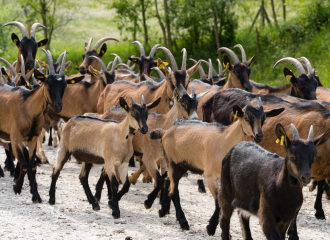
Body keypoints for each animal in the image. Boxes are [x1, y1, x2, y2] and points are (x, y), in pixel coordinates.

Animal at [151, 97, 284, 231]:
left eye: (263, 118)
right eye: (246, 117)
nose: (259, 135)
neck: (225, 139)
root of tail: (166, 132)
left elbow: (223, 201)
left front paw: (214, 226)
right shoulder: (210, 176)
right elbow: (218, 201)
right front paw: (211, 227)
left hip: (181, 165)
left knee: (168, 182)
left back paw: (162, 210)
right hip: (173, 162)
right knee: (174, 192)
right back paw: (183, 222)